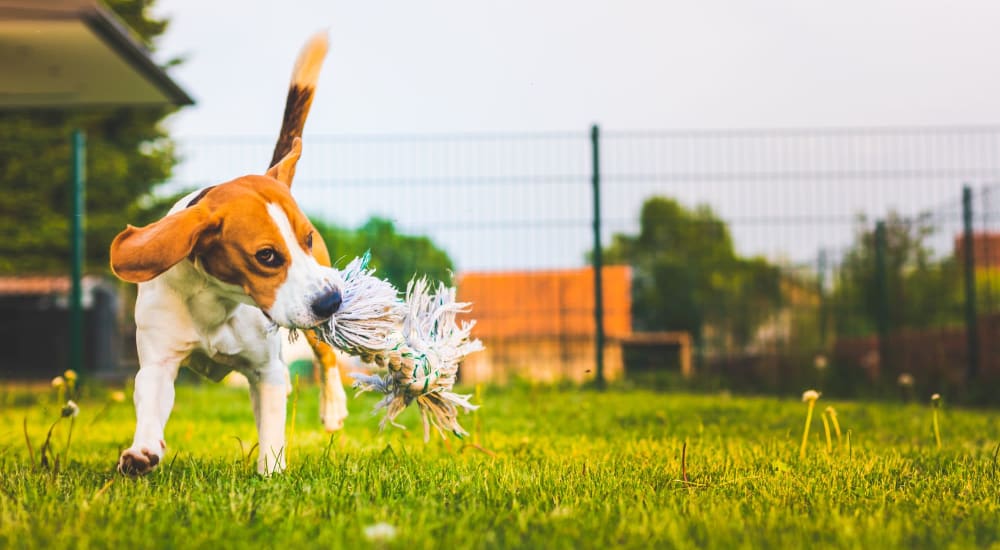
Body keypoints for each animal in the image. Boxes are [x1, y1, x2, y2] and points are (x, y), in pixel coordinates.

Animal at [109, 32, 348, 476]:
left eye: (306, 238)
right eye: (266, 256)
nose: (330, 301)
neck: (216, 300)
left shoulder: (267, 370)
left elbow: (272, 429)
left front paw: (271, 474)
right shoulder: (159, 362)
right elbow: (150, 403)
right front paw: (142, 451)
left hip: (317, 317)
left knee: (326, 357)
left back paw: (333, 407)